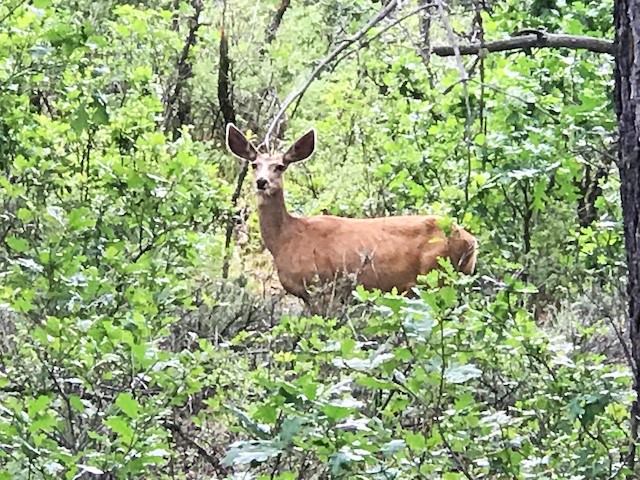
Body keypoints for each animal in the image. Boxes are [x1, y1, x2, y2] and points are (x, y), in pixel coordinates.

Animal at [225, 123, 476, 312]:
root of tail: (471, 240)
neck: (285, 239)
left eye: (279, 166)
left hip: (437, 273)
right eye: (254, 164)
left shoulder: (322, 286)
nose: (262, 182)